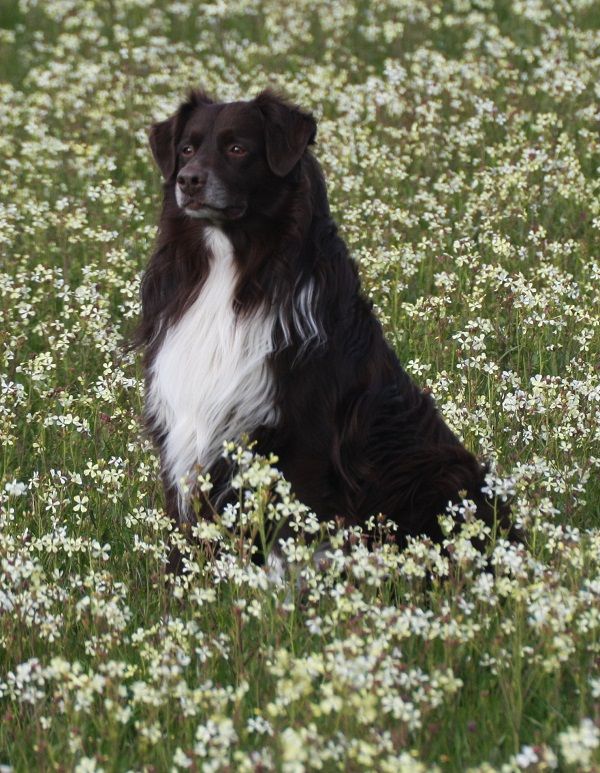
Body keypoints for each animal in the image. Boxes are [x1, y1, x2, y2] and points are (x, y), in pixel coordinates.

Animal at [137, 89, 516, 568]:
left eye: (237, 148)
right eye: (187, 148)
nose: (188, 180)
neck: (231, 272)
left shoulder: (305, 439)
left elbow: (291, 542)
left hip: (438, 472)